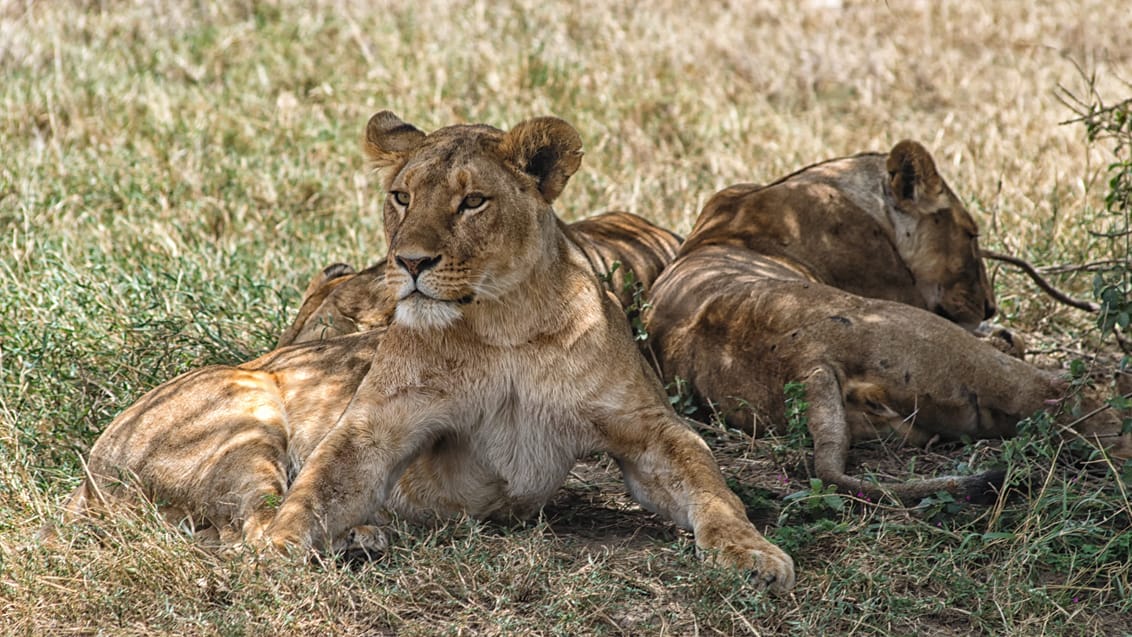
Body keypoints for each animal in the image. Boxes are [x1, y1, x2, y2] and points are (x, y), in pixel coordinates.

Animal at [642, 139, 1127, 504]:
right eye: (970, 235)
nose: (990, 307)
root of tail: (807, 366)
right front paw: (1004, 335)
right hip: (950, 352)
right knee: (1060, 401)